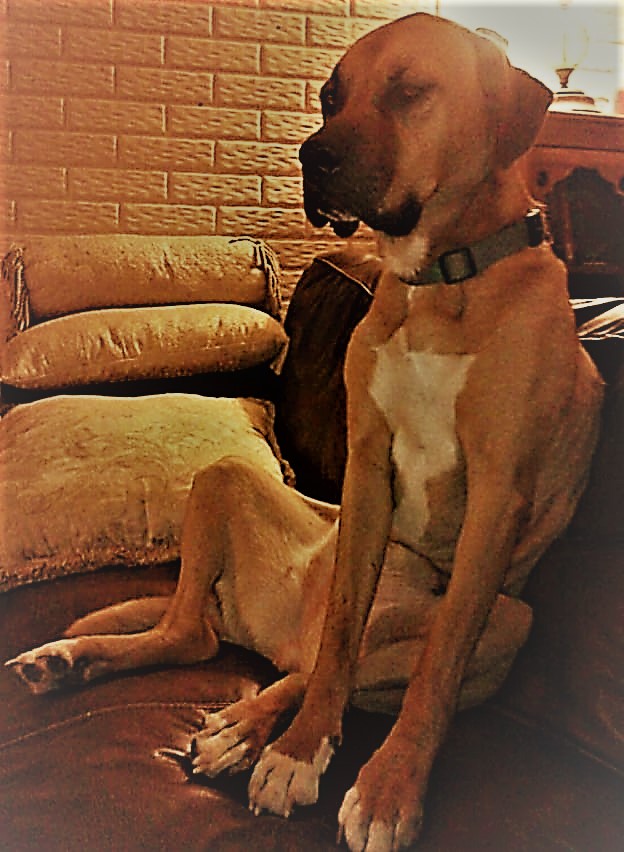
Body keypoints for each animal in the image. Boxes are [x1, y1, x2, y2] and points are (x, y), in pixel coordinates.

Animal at [7, 14, 603, 852]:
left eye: (411, 91)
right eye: (330, 96)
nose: (310, 158)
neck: (438, 282)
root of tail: (265, 631)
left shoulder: (498, 497)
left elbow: (434, 671)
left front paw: (388, 788)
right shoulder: (366, 469)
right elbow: (342, 629)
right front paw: (300, 750)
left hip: (513, 622)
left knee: (316, 660)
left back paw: (240, 725)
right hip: (226, 479)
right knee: (215, 637)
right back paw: (100, 669)